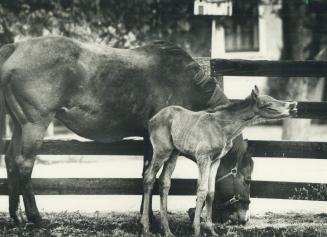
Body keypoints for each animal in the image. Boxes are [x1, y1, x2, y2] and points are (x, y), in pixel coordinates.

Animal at [0, 36, 252, 225]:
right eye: (248, 180)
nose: (243, 218)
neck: (182, 83)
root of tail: (16, 47)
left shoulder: (149, 140)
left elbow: (145, 174)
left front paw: (146, 215)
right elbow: (152, 176)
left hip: (20, 125)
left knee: (11, 161)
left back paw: (17, 216)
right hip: (34, 125)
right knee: (24, 165)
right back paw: (35, 217)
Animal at [141, 86, 298, 236]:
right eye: (268, 105)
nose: (292, 106)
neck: (221, 127)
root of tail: (151, 120)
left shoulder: (215, 161)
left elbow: (211, 192)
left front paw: (211, 230)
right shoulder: (203, 158)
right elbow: (202, 190)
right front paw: (197, 230)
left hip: (173, 154)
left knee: (164, 181)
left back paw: (167, 230)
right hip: (161, 152)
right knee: (148, 178)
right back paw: (146, 227)